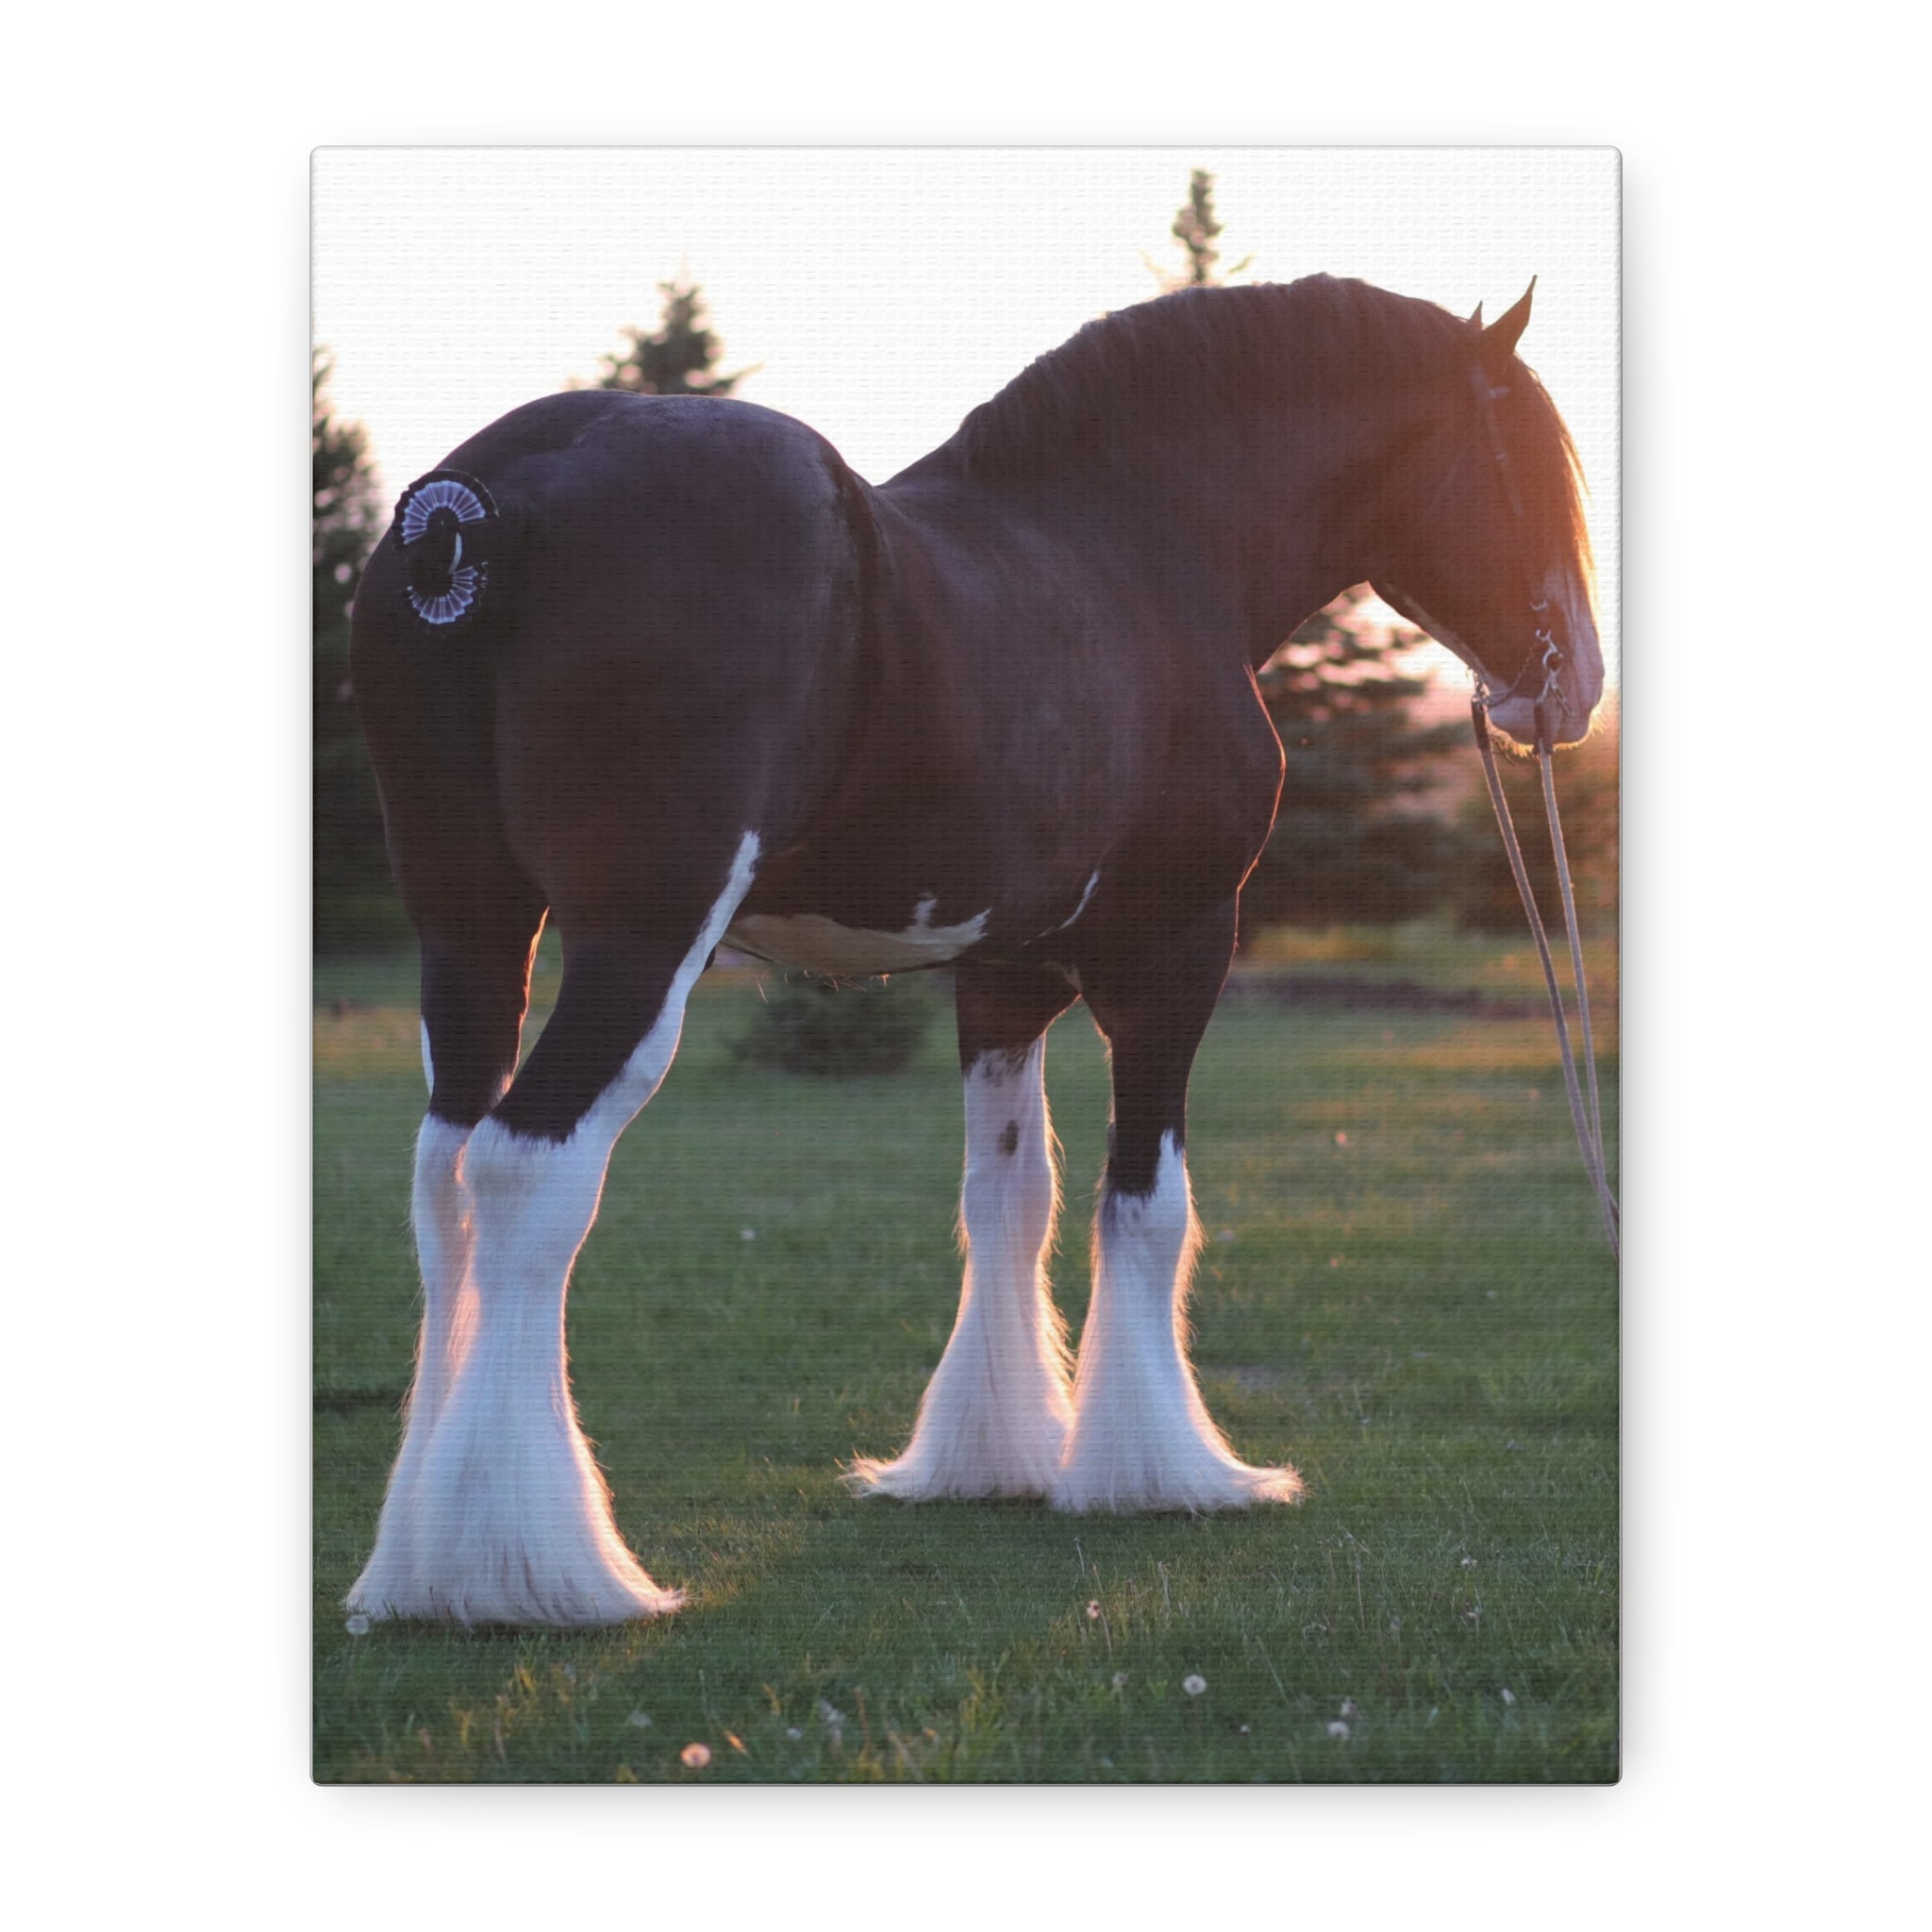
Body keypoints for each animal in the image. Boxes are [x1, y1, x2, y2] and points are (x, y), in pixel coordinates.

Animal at [343, 273, 1603, 1627]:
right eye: (1531, 461)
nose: (1576, 686)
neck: (1134, 550)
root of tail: (482, 504)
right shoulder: (1176, 951)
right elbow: (1145, 1203)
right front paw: (1160, 1470)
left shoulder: (1002, 976)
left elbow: (1007, 1197)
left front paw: (989, 1456)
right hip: (639, 939)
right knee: (529, 1170)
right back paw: (529, 1571)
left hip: (471, 927)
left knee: (444, 1176)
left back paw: (414, 1563)